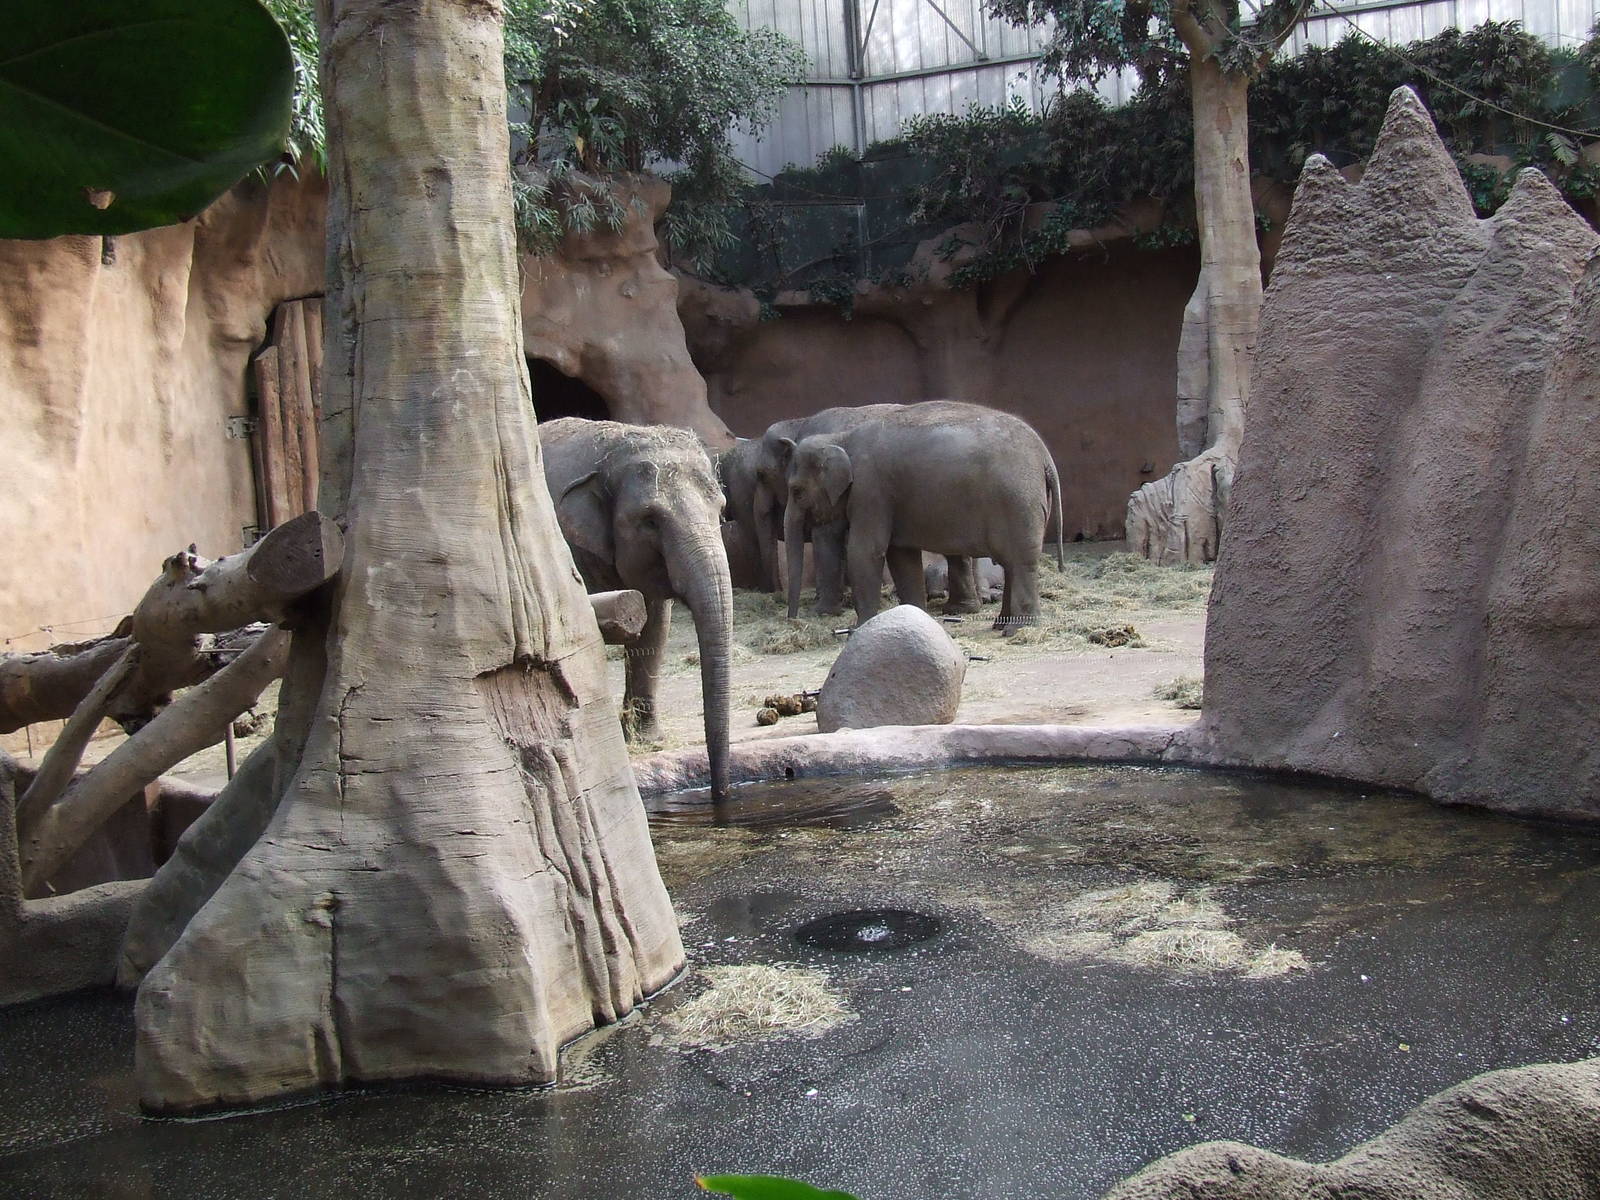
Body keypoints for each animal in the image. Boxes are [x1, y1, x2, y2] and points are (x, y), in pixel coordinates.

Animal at [540, 417, 732, 800]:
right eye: (650, 521)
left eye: (720, 510)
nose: (721, 794)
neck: (609, 449)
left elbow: (654, 626)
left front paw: (645, 739)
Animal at [781, 401, 1064, 632]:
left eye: (796, 491)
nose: (793, 620)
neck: (840, 437)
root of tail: (1045, 457)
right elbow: (901, 556)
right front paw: (913, 619)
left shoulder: (871, 491)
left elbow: (865, 551)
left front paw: (859, 629)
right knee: (1011, 563)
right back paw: (1000, 625)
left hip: (1018, 502)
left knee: (1021, 561)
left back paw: (1017, 630)